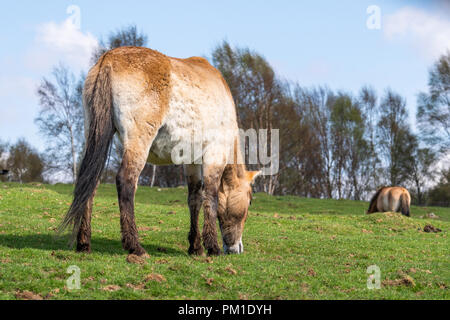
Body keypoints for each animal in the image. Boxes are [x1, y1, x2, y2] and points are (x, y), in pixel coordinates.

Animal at [61, 47, 262, 258]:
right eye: (250, 201)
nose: (236, 248)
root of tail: (109, 59)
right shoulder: (215, 154)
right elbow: (211, 197)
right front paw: (212, 247)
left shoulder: (191, 161)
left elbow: (195, 198)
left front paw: (196, 247)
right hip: (139, 139)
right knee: (126, 181)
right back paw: (135, 246)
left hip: (94, 136)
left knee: (89, 183)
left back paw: (84, 243)